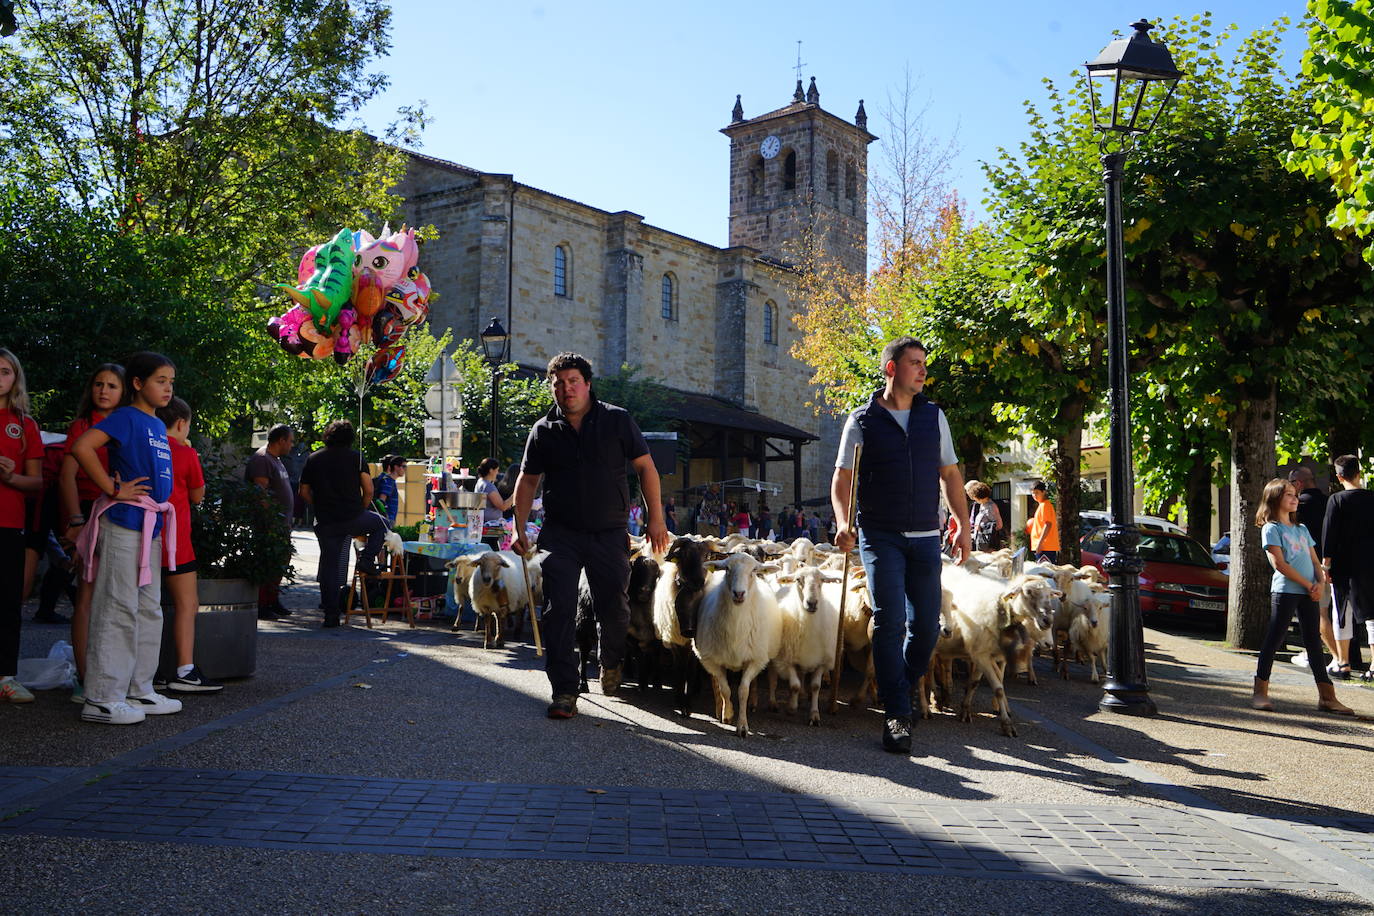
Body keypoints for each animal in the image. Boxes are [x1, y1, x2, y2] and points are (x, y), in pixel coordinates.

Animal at [697, 552, 785, 736]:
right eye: (727, 569)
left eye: (754, 570)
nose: (739, 593)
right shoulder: (712, 660)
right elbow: (725, 689)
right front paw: (727, 713)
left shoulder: (755, 660)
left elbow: (743, 690)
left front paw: (742, 726)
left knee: (762, 680)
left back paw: (760, 702)